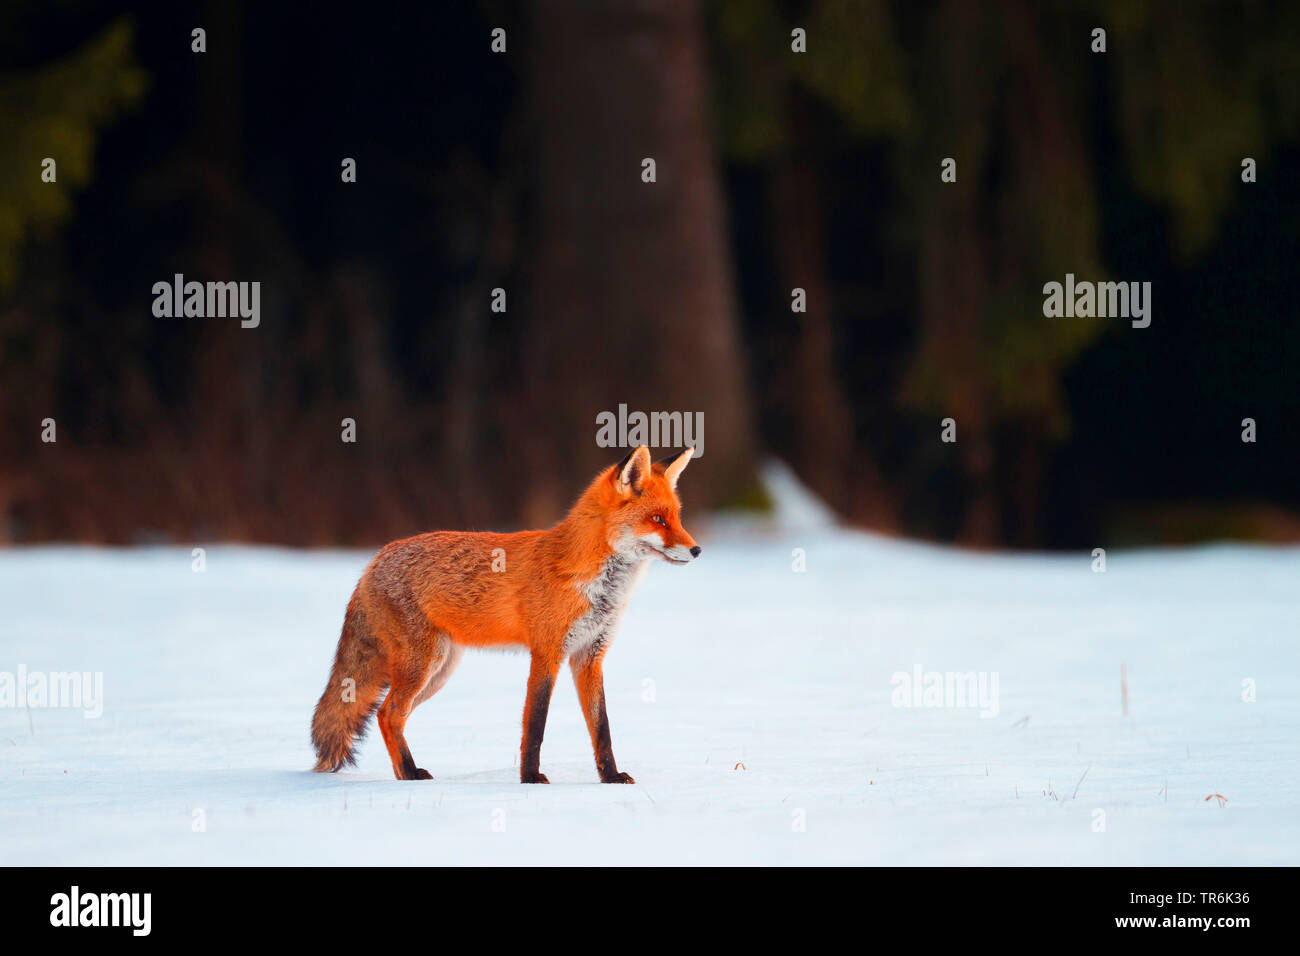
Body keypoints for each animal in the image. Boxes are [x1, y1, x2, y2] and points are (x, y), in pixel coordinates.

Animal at [312, 444, 702, 780]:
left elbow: (602, 729)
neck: (597, 585)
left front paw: (611, 778)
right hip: (423, 666)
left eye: (677, 517)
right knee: (389, 713)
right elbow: (535, 725)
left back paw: (403, 774)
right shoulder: (547, 653)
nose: (697, 550)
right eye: (657, 519)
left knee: (388, 716)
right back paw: (409, 774)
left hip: (439, 671)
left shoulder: (589, 656)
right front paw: (530, 779)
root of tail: (373, 561)